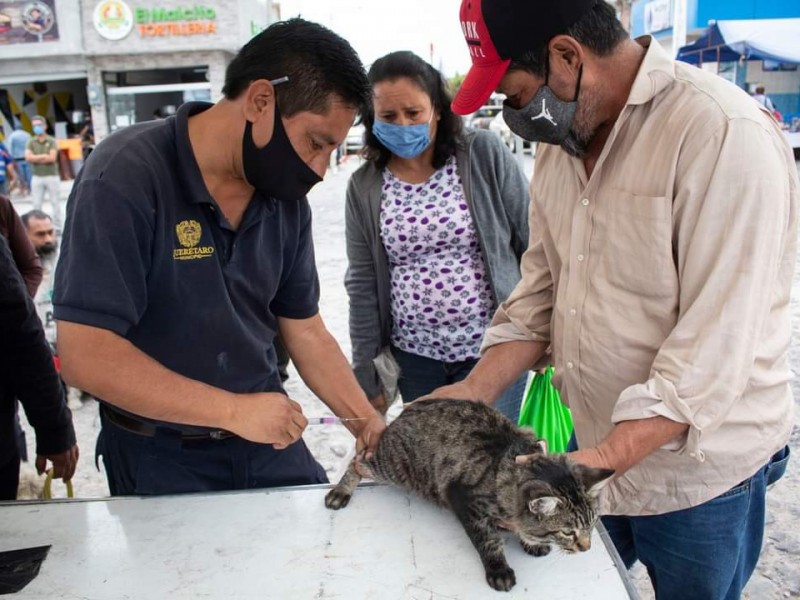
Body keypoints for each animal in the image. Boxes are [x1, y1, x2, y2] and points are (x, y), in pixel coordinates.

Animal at [324, 398, 612, 592]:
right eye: (567, 532)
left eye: (592, 524)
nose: (586, 547)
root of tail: (401, 415)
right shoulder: (465, 501)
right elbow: (488, 540)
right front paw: (499, 568)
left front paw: (530, 541)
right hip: (394, 466)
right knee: (359, 460)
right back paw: (341, 490)